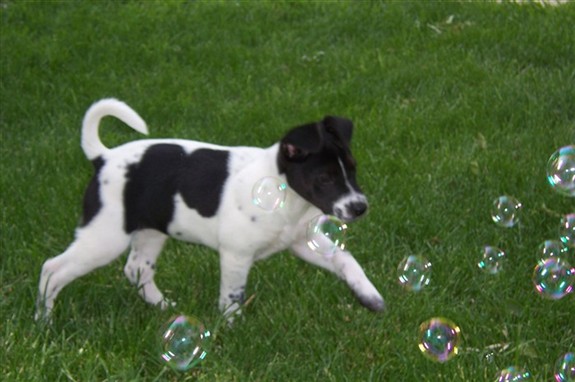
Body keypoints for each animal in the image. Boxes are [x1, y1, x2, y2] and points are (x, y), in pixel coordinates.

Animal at [36, 97, 388, 322]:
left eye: (353, 169)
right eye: (325, 178)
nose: (359, 207)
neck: (282, 192)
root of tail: (103, 158)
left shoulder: (303, 242)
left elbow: (346, 259)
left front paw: (369, 296)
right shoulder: (236, 254)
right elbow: (232, 295)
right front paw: (232, 329)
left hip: (151, 232)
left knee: (137, 270)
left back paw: (164, 308)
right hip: (104, 237)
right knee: (53, 269)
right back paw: (44, 322)